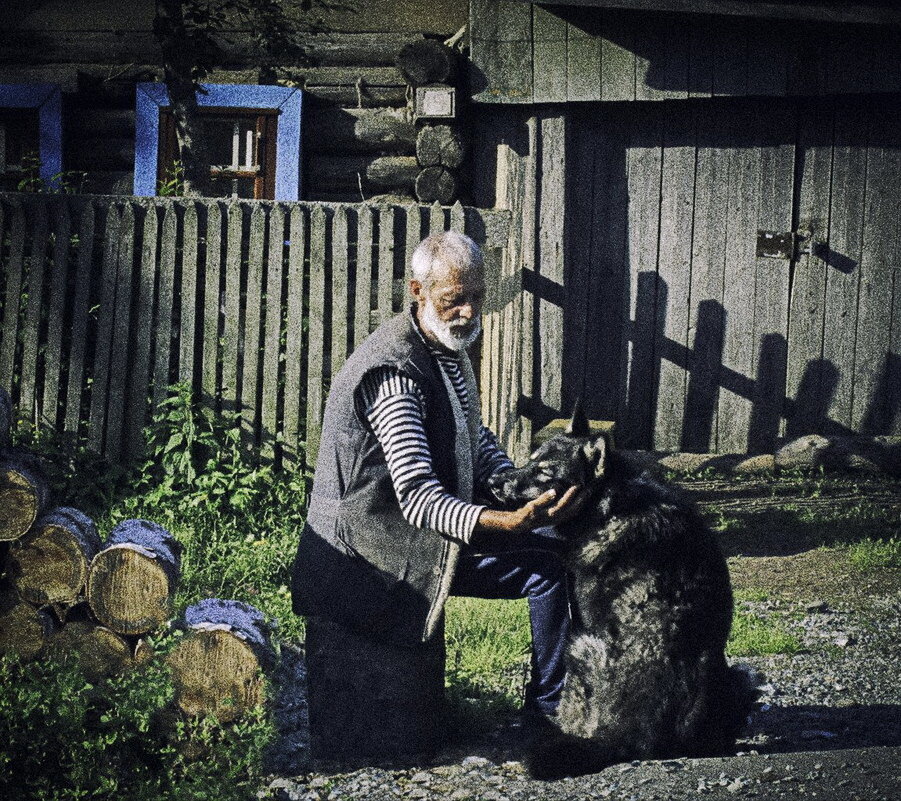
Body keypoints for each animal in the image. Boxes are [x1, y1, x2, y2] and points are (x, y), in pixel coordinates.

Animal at [486, 404, 752, 780]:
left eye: (544, 472)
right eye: (529, 461)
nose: (494, 482)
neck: (608, 505)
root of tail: (628, 734)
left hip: (577, 648)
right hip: (736, 676)